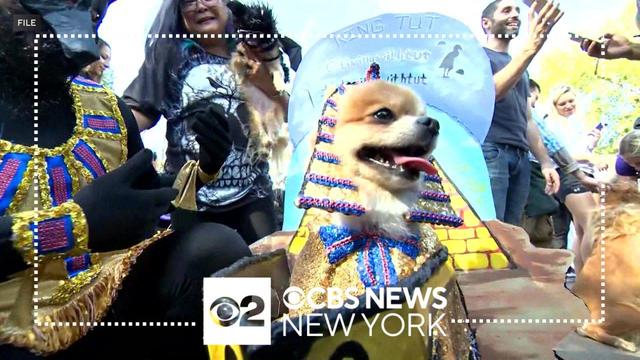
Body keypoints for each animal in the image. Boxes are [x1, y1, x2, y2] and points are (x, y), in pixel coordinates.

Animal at [225, 0, 284, 163]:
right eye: (245, 23)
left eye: (258, 23)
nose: (247, 34)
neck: (257, 51)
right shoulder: (237, 57)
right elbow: (240, 61)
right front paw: (241, 74)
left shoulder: (274, 62)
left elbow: (278, 72)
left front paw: (279, 85)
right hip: (255, 121)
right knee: (259, 137)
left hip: (271, 120)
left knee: (270, 139)